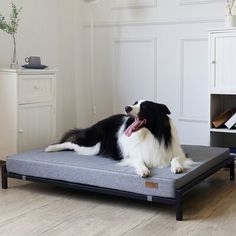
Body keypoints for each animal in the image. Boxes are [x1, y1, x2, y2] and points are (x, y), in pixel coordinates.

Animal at [46, 99, 192, 177]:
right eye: (134, 103)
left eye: (144, 106)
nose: (127, 107)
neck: (149, 134)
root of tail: (98, 122)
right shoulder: (128, 155)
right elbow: (138, 159)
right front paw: (143, 169)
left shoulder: (178, 152)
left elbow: (175, 158)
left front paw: (177, 167)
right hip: (93, 146)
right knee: (71, 142)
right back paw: (51, 148)